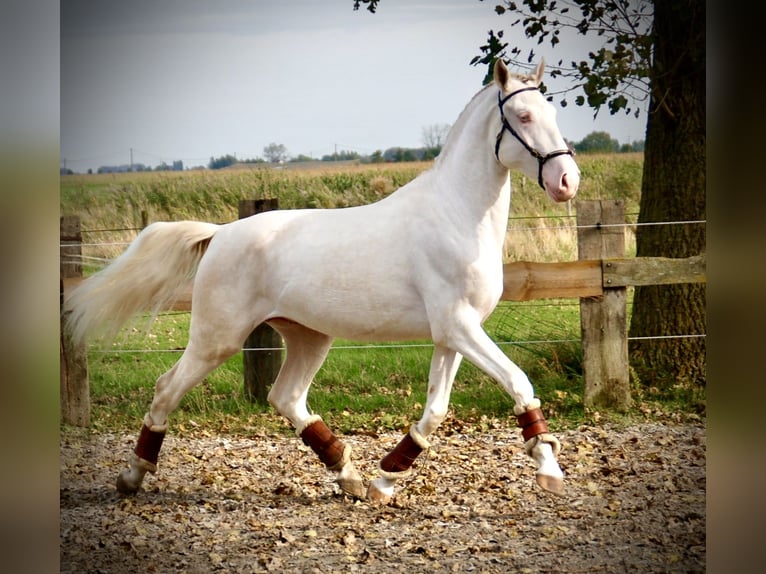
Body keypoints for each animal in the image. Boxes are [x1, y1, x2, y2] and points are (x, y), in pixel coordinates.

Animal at [67, 60, 584, 506]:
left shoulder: (452, 334)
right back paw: (132, 476)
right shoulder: (459, 327)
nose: (567, 181)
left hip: (309, 336)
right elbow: (517, 382)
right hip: (218, 338)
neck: (457, 215)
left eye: (555, 113)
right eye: (523, 115)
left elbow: (436, 410)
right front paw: (550, 471)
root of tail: (220, 234)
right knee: (166, 388)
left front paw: (384, 480)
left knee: (286, 397)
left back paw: (349, 476)